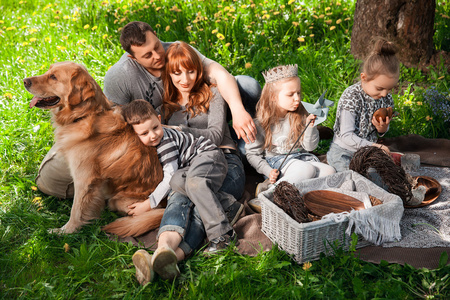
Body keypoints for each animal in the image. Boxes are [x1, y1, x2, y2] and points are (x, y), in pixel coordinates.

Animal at [22, 61, 163, 237]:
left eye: (53, 77)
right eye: (48, 70)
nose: (24, 81)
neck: (84, 116)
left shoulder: (84, 179)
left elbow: (76, 210)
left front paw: (65, 231)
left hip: (121, 201)